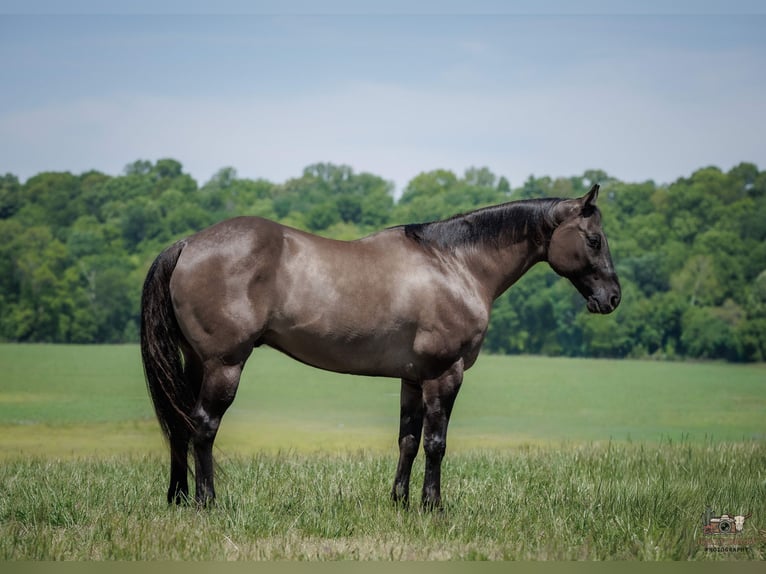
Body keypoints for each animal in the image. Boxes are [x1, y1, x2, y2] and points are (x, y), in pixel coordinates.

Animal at [140, 183, 620, 509]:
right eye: (594, 239)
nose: (612, 297)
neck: (454, 265)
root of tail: (188, 244)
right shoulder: (444, 373)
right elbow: (436, 443)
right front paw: (433, 506)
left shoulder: (413, 377)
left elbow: (408, 439)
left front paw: (400, 502)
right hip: (224, 364)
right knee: (204, 426)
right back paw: (206, 502)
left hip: (196, 362)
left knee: (181, 424)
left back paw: (178, 498)